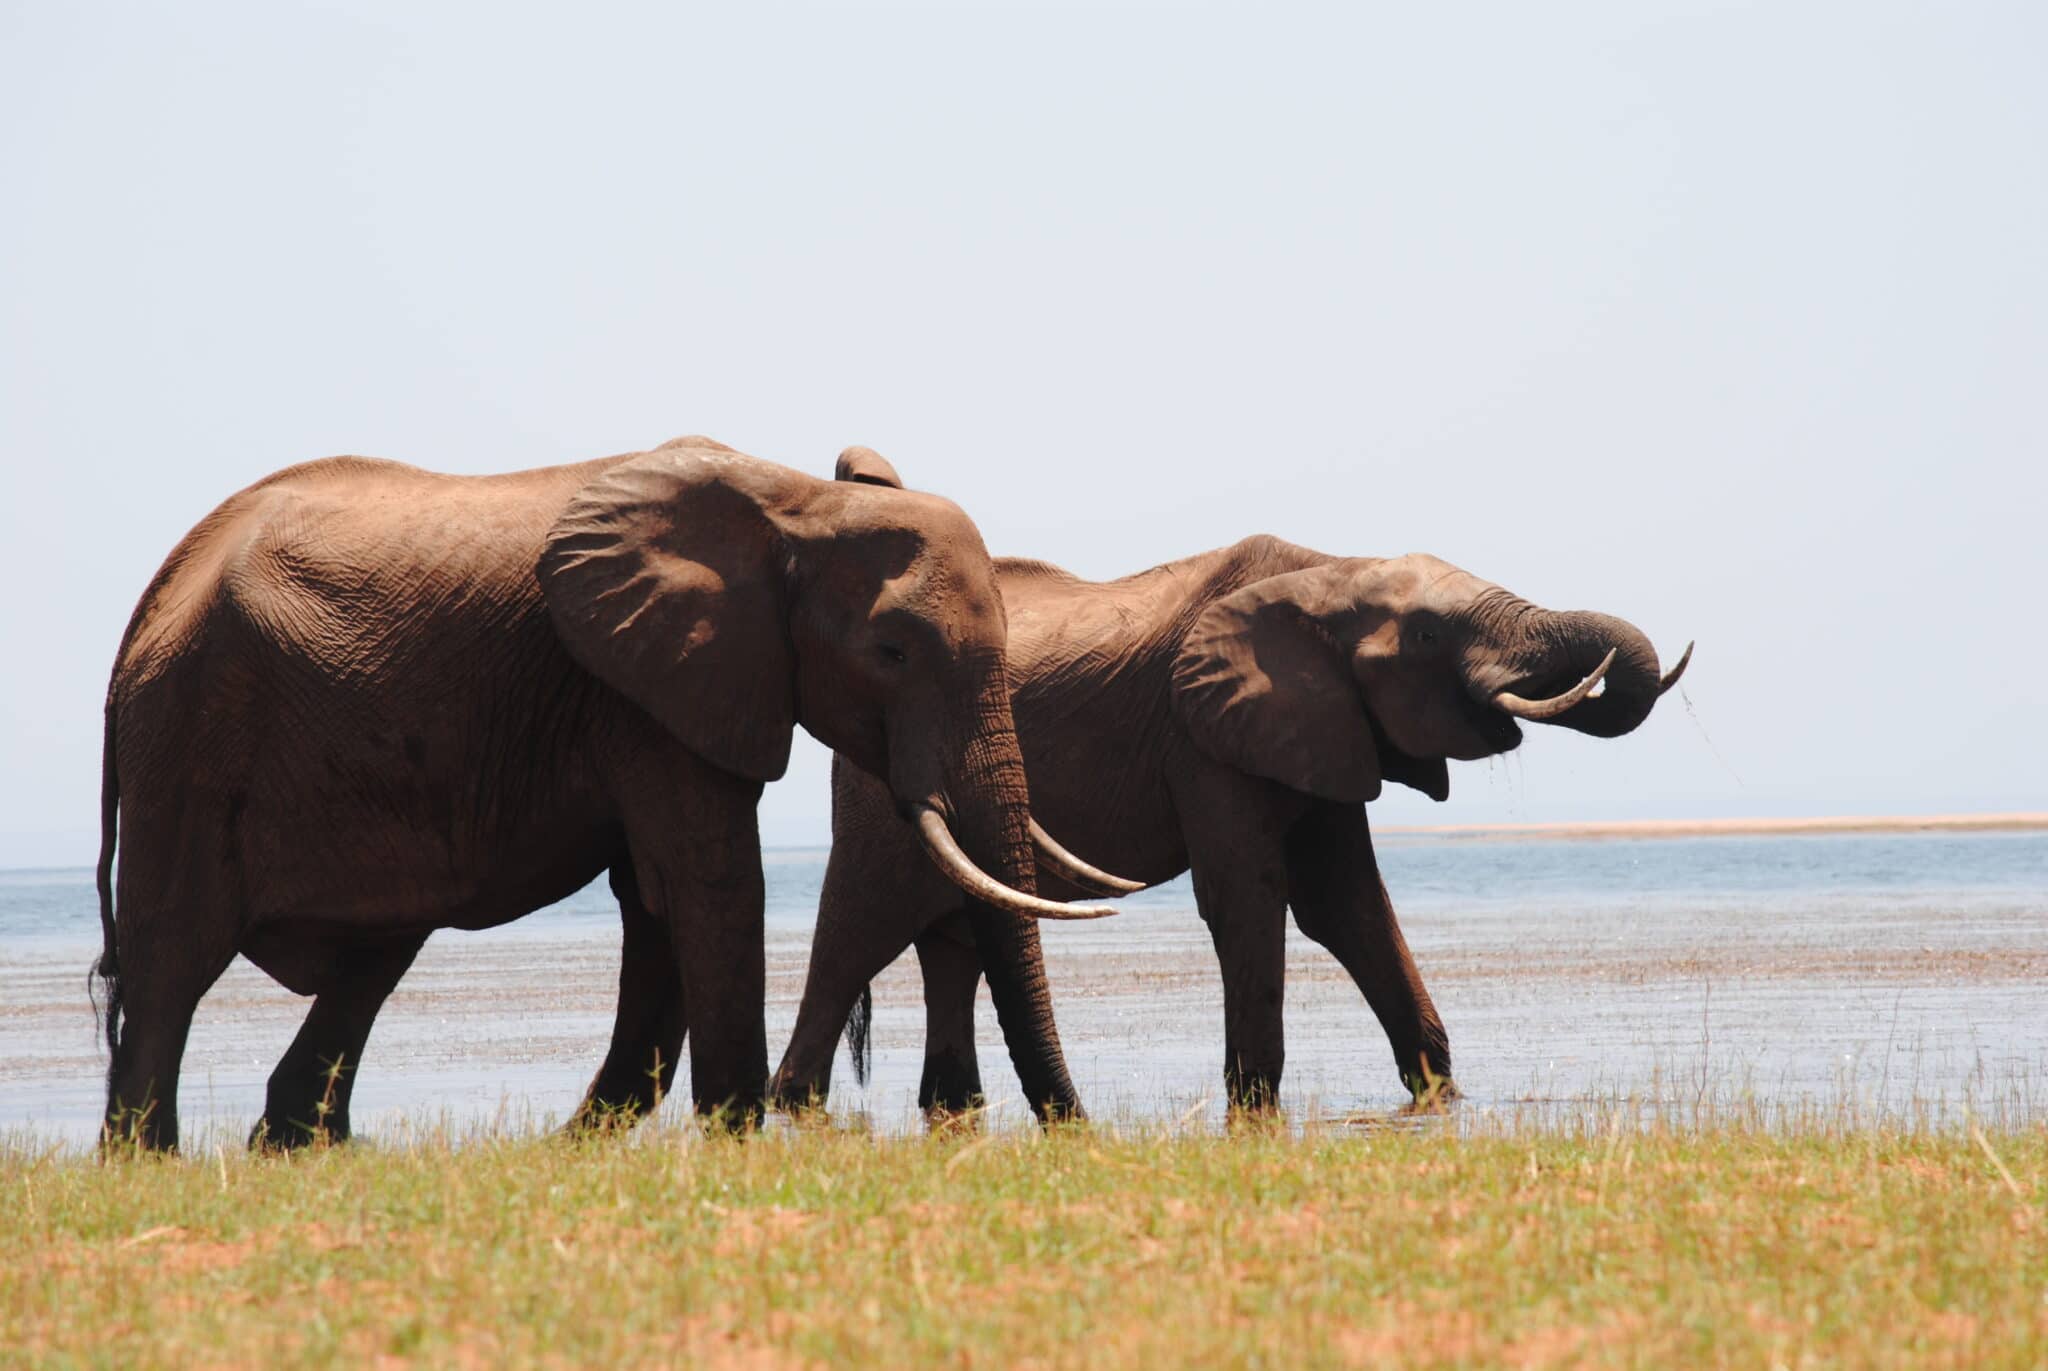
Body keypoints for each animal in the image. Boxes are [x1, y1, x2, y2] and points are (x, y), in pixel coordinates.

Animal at [92, 434, 1129, 1151]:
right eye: (892, 652)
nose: (1081, 1133)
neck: (795, 505)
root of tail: (153, 596)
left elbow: (657, 897)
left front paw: (607, 1138)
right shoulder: (645, 690)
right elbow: (711, 879)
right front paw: (736, 1133)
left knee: (369, 959)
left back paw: (300, 1145)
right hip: (187, 741)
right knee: (173, 961)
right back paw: (148, 1159)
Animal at [769, 512, 1689, 1115]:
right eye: (1429, 635)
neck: (1328, 569)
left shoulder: (1319, 727)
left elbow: (1345, 904)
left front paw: (1440, 1095)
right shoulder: (1203, 736)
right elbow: (1248, 895)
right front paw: (1253, 1109)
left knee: (950, 945)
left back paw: (951, 1109)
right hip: (878, 792)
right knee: (858, 930)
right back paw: (792, 1102)